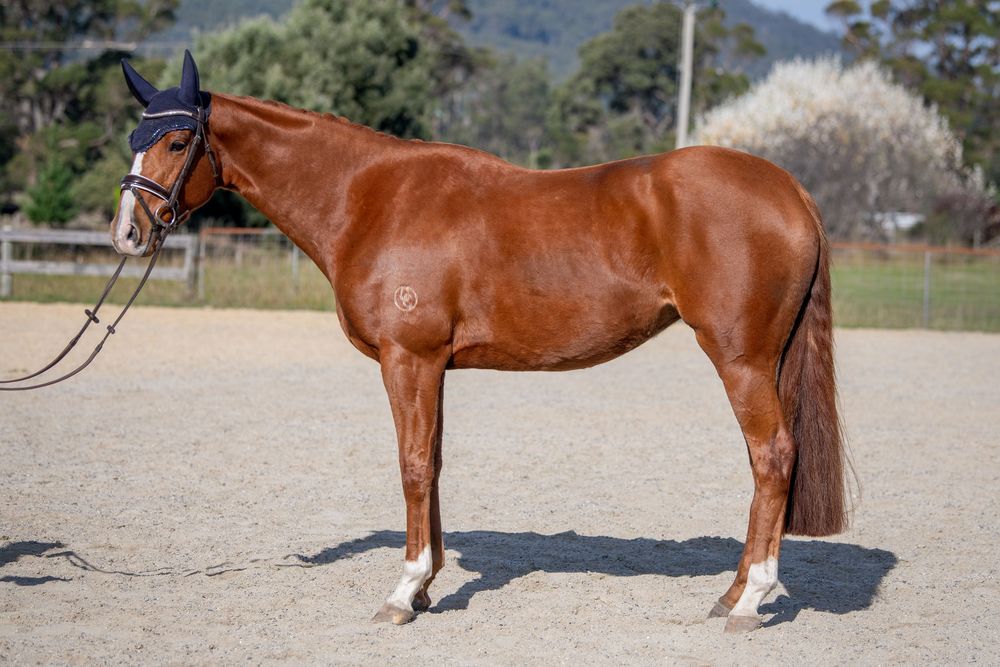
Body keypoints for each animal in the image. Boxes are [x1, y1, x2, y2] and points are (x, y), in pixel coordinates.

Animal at [111, 51, 848, 634]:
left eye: (176, 142)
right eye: (134, 135)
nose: (127, 233)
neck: (369, 197)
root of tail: (787, 187)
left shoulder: (408, 359)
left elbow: (411, 466)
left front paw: (403, 591)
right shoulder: (432, 365)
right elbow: (432, 465)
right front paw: (427, 587)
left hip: (741, 359)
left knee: (772, 458)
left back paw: (750, 601)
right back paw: (732, 592)